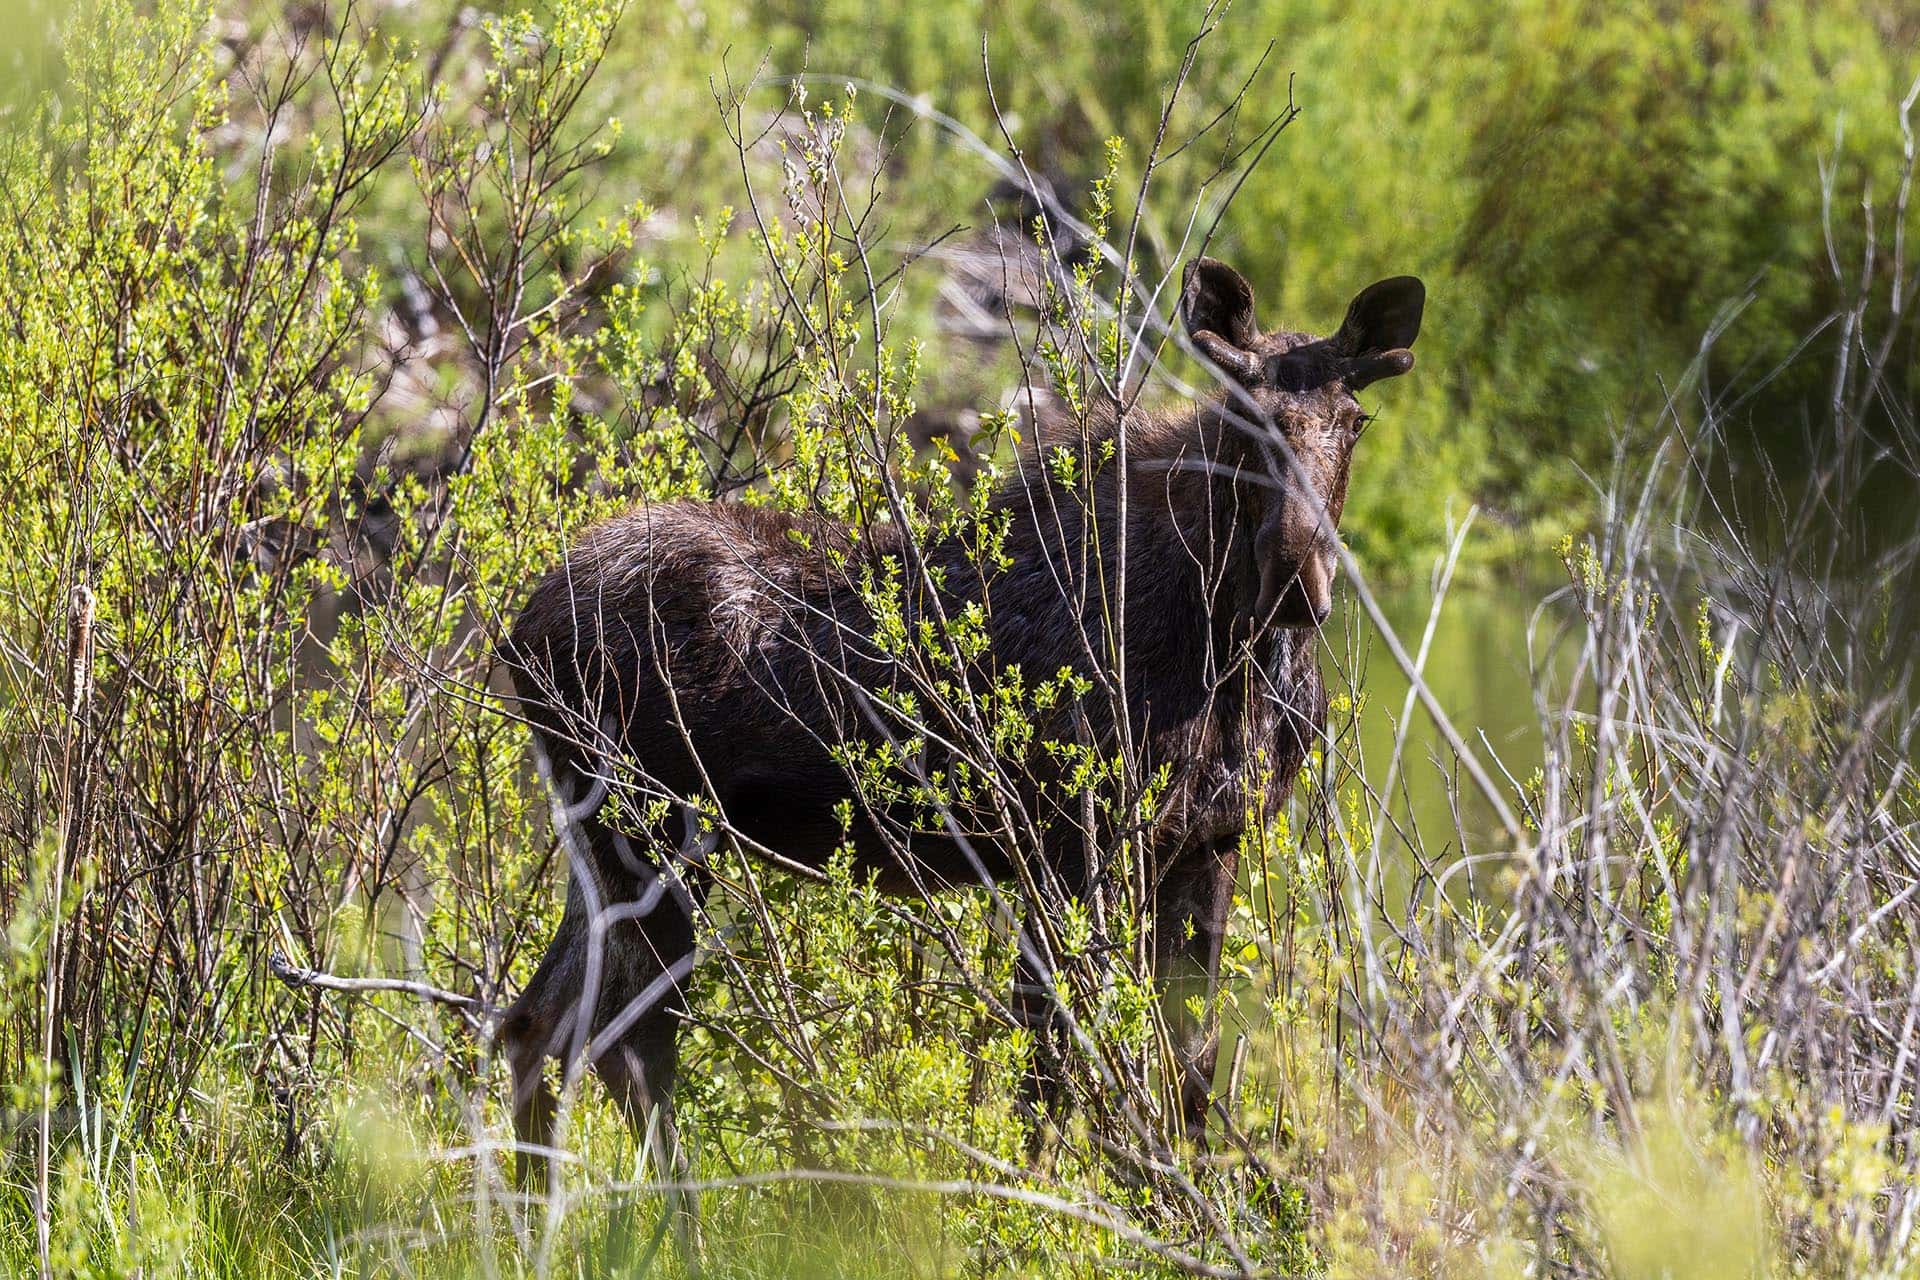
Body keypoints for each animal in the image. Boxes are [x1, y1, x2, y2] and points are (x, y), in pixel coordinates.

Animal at [497, 256, 1424, 1183]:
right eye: (1244, 418)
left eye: (1356, 420)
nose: (1297, 581)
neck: (1231, 655)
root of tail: (518, 629)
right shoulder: (1068, 849)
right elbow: (1049, 1074)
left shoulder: (1210, 840)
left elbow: (1187, 1072)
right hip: (654, 837)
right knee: (629, 1043)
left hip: (606, 845)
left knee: (536, 1023)